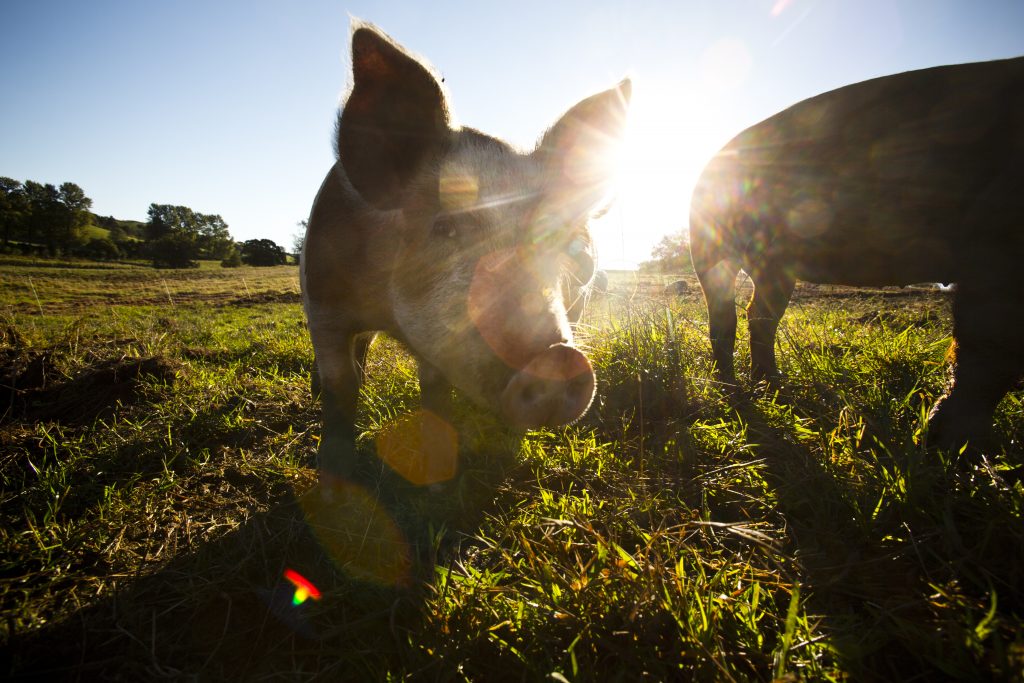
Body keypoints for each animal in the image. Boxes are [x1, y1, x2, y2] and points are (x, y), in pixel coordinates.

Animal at [299, 24, 626, 483]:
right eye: (445, 226)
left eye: (567, 242)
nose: (558, 360)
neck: (384, 307)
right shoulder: (322, 301)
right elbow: (339, 385)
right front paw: (334, 475)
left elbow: (434, 390)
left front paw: (439, 476)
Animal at [688, 56, 1024, 450]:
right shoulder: (995, 242)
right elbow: (987, 343)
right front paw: (953, 448)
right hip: (709, 246)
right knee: (724, 319)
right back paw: (732, 391)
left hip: (773, 266)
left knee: (760, 315)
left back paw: (772, 386)